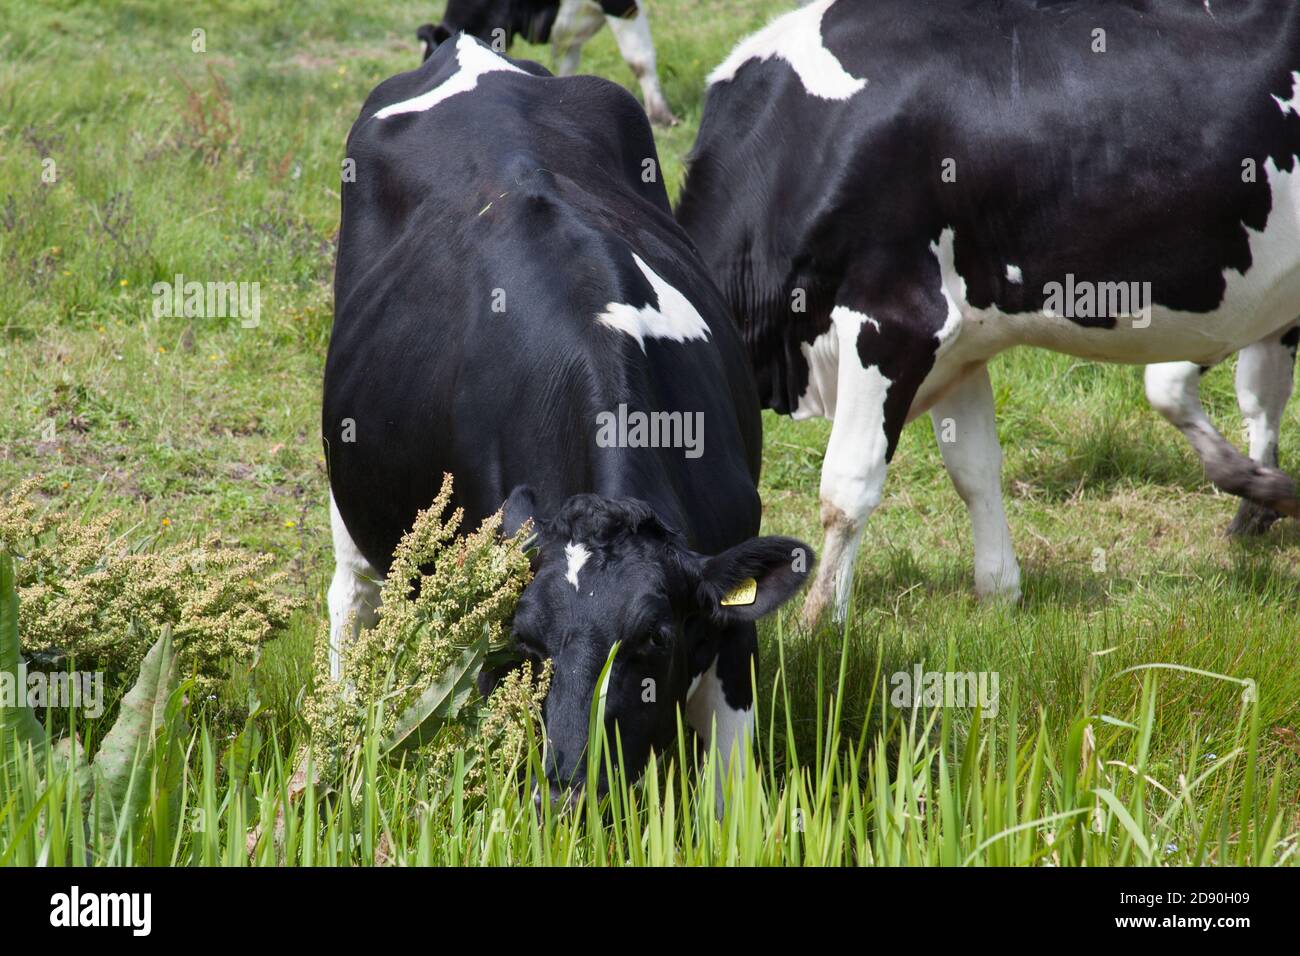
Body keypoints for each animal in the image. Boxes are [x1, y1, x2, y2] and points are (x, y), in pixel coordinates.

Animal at [323, 34, 812, 805]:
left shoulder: (731, 616)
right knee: (353, 596)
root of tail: (468, 50)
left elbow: (730, 789)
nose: (572, 788)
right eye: (526, 641)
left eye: (653, 639)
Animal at [675, 0, 1300, 626]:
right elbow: (973, 469)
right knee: (1261, 390)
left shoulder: (896, 322)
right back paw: (1258, 507)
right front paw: (999, 593)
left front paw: (822, 622)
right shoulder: (960, 342)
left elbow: (847, 486)